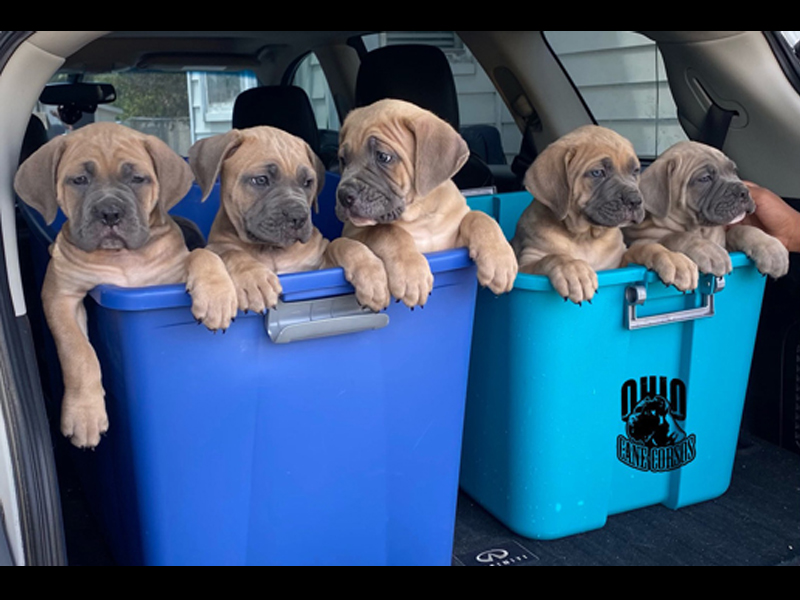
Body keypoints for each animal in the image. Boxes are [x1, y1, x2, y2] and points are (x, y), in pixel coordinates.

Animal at [14, 122, 237, 448]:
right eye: (79, 180)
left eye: (137, 179)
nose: (110, 213)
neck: (121, 257)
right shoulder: (60, 295)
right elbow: (78, 352)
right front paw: (84, 415)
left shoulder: (172, 271)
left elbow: (202, 254)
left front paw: (217, 298)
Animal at [188, 126, 390, 313]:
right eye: (260, 180)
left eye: (308, 182)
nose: (298, 217)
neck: (272, 250)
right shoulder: (217, 245)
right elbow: (231, 252)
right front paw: (254, 278)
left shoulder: (318, 266)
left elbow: (342, 244)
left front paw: (370, 272)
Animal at [335, 98, 517, 307]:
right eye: (343, 159)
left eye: (383, 157)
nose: (343, 195)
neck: (421, 214)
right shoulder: (354, 232)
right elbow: (388, 230)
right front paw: (411, 274)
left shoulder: (452, 242)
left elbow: (480, 217)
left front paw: (500, 260)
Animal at [512, 125, 699, 303]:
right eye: (597, 173)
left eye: (635, 171)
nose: (636, 200)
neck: (585, 238)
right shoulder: (525, 265)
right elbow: (553, 257)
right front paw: (573, 269)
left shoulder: (618, 263)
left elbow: (645, 247)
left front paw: (673, 258)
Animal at [624, 140, 789, 279]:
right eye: (705, 178)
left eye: (734, 170)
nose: (743, 191)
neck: (701, 229)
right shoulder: (642, 240)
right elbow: (678, 236)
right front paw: (709, 251)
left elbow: (741, 230)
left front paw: (771, 248)